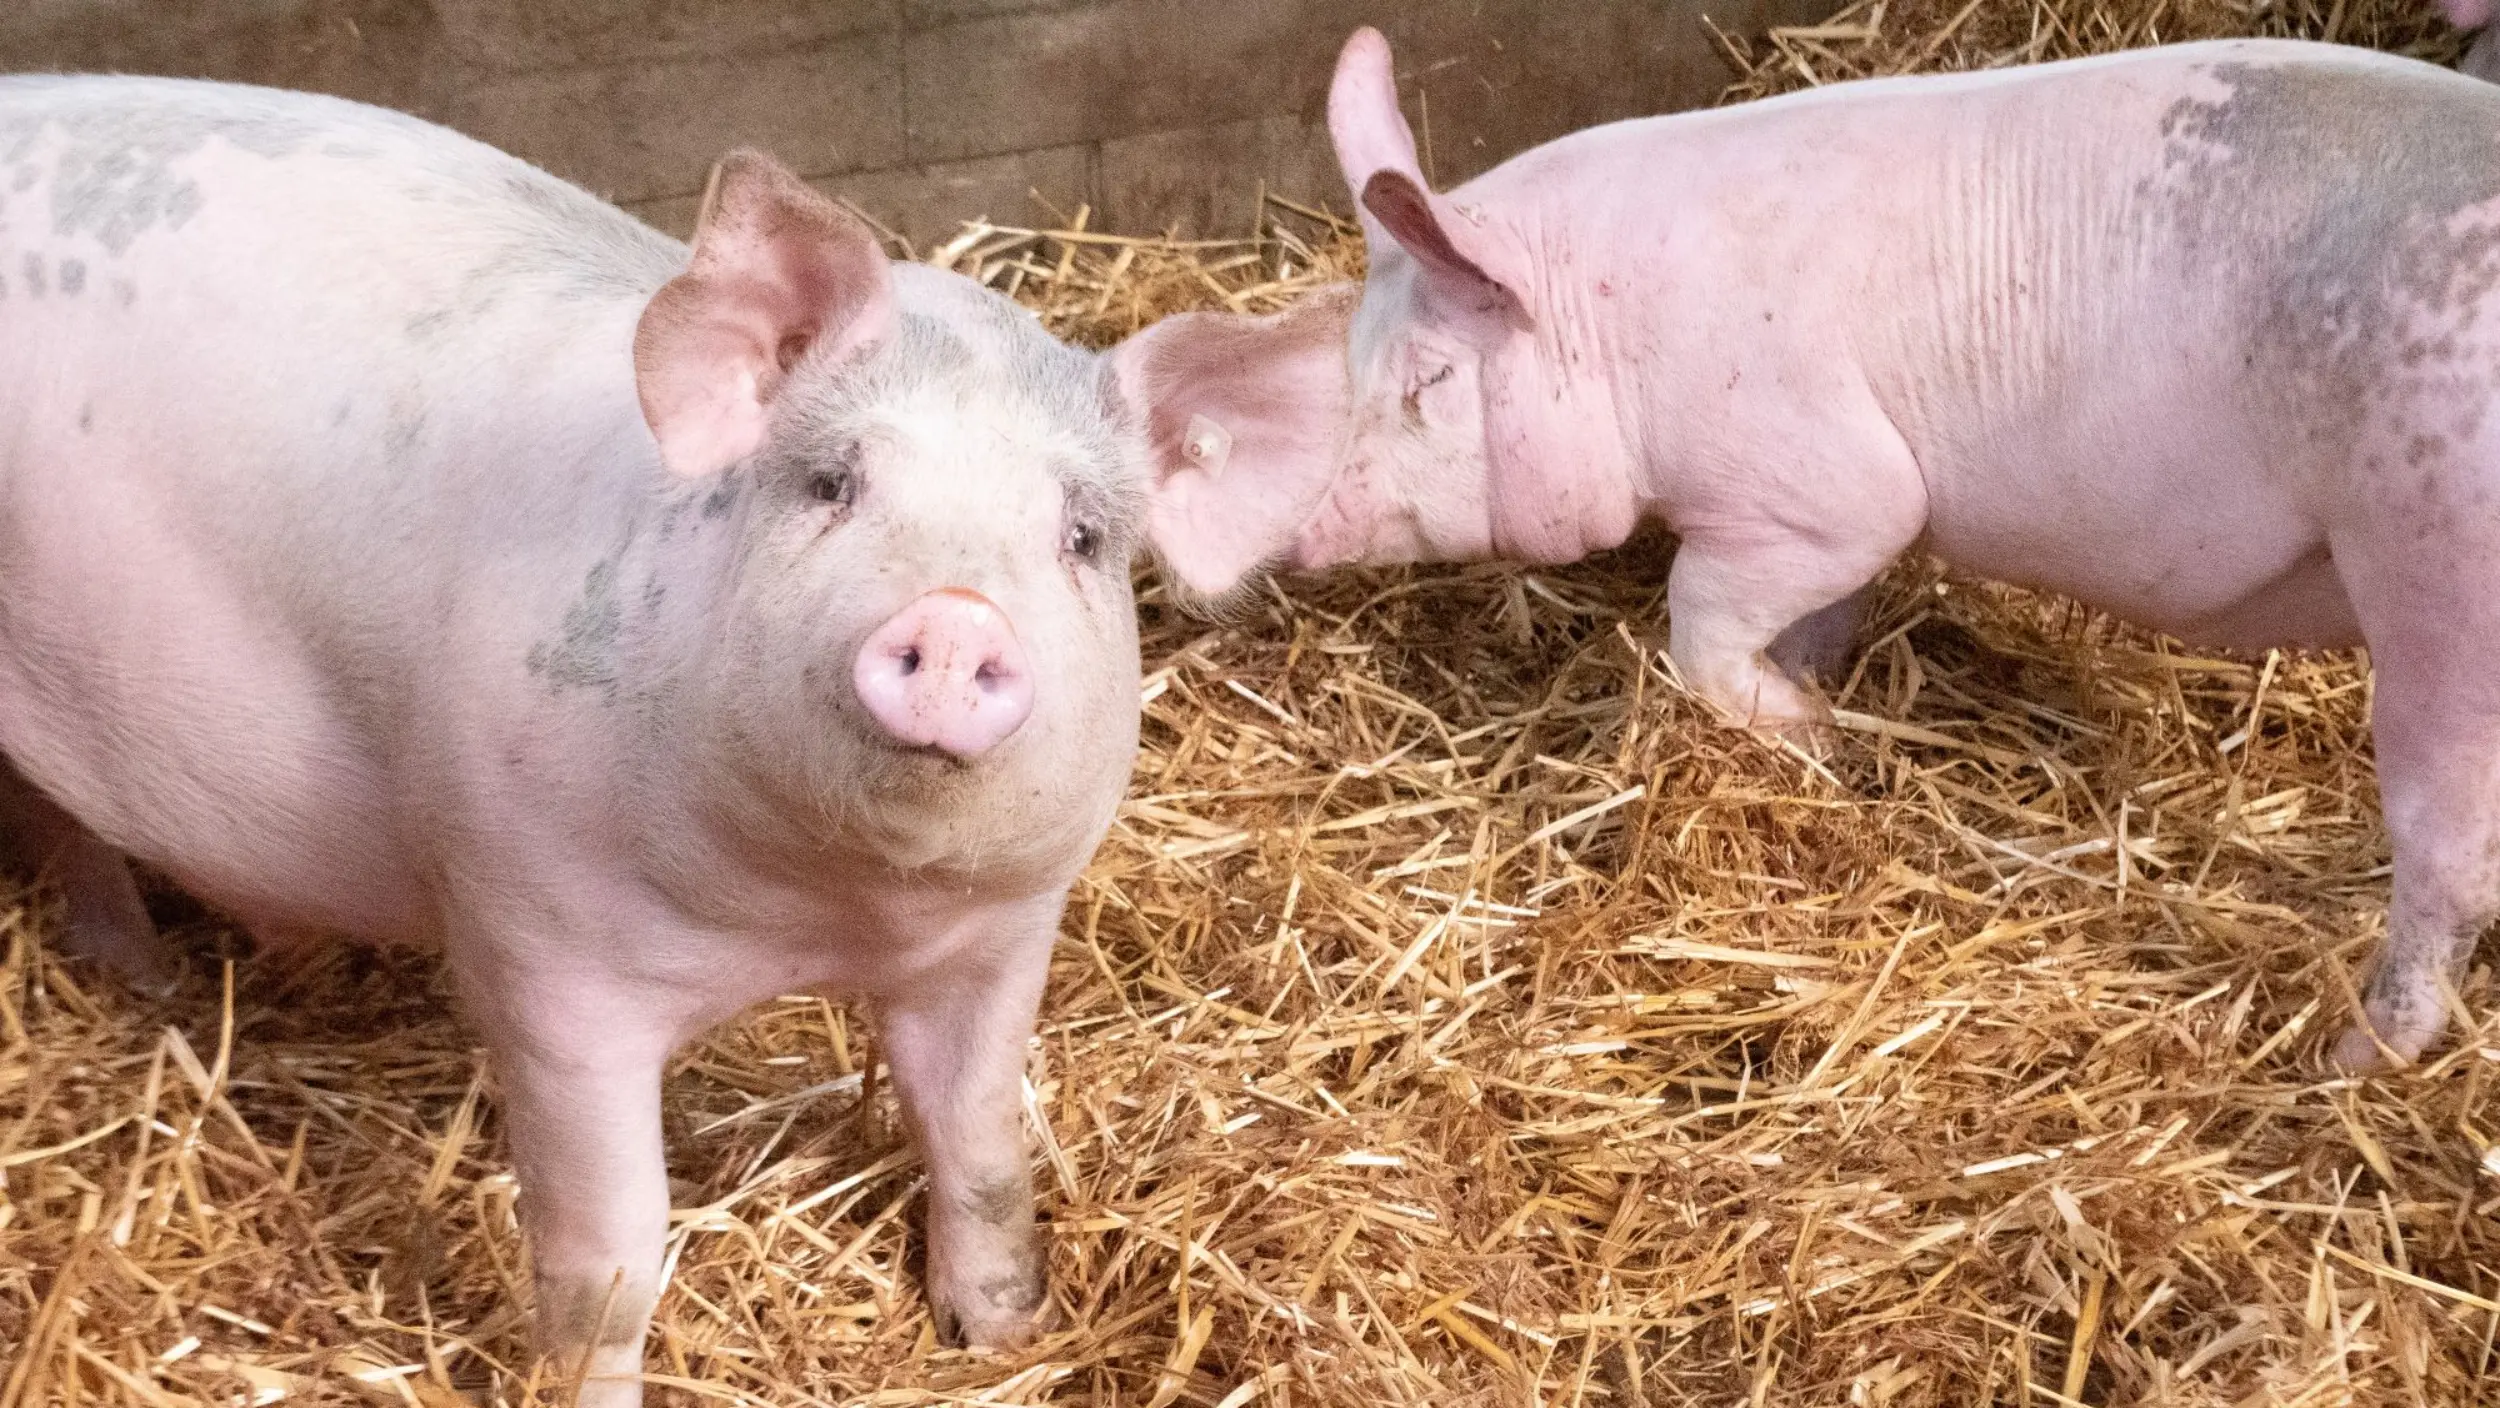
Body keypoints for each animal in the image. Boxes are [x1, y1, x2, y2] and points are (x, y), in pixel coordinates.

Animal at [0, 80, 1145, 1408]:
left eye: (1080, 535)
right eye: (832, 484)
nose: (956, 618)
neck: (822, 913)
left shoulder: (1002, 934)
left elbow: (981, 1148)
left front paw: (1003, 1341)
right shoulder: (537, 944)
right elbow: (607, 1255)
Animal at [1115, 30, 2500, 1070]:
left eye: (1425, 384)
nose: (1304, 534)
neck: (1611, 332)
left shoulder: (1825, 488)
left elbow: (1706, 616)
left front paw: (1815, 738)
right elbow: (1819, 615)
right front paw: (1825, 693)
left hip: (2436, 573)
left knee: (2450, 856)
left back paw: (2349, 1056)